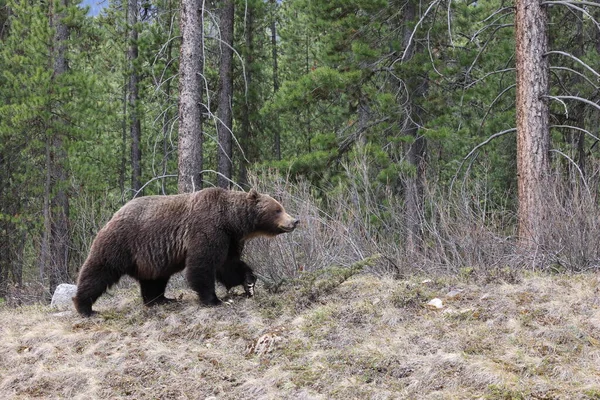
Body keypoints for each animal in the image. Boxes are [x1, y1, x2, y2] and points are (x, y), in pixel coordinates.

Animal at [74, 188, 298, 316]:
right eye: (277, 209)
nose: (295, 221)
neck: (230, 221)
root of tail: (114, 214)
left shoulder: (229, 239)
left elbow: (229, 265)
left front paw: (249, 282)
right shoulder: (207, 229)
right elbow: (202, 265)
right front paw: (213, 299)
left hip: (152, 257)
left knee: (154, 279)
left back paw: (161, 299)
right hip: (121, 242)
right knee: (99, 270)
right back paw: (85, 307)